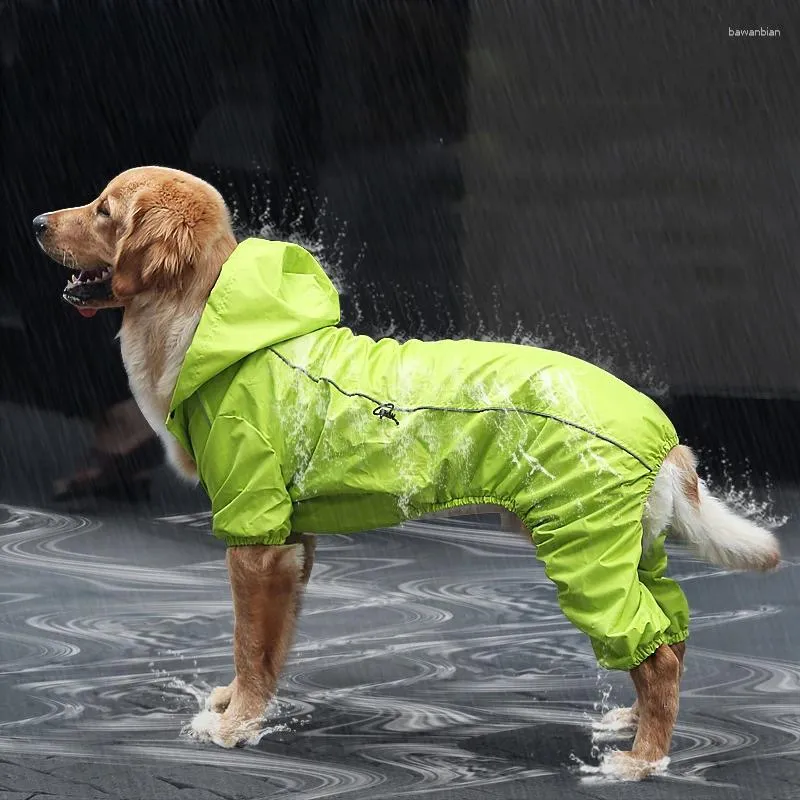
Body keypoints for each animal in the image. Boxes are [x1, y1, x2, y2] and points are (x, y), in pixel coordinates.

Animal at [34, 166, 780, 780]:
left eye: (103, 210)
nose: (36, 222)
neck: (214, 323)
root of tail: (665, 432)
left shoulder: (254, 540)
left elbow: (249, 644)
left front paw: (234, 725)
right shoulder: (291, 545)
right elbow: (269, 650)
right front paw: (247, 711)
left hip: (584, 555)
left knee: (655, 654)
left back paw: (642, 760)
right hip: (628, 553)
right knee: (672, 635)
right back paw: (632, 724)